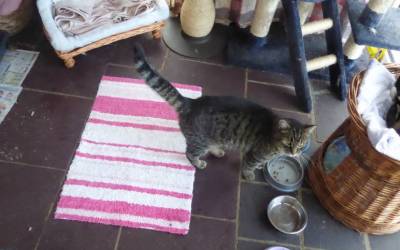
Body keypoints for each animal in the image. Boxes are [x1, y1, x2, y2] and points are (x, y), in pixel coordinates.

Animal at [134, 43, 316, 180]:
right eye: (288, 143)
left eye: (300, 146)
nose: (293, 153)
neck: (272, 137)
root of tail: (191, 102)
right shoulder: (254, 154)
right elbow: (249, 165)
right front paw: (249, 174)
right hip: (200, 142)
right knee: (189, 153)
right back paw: (199, 163)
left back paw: (218, 151)